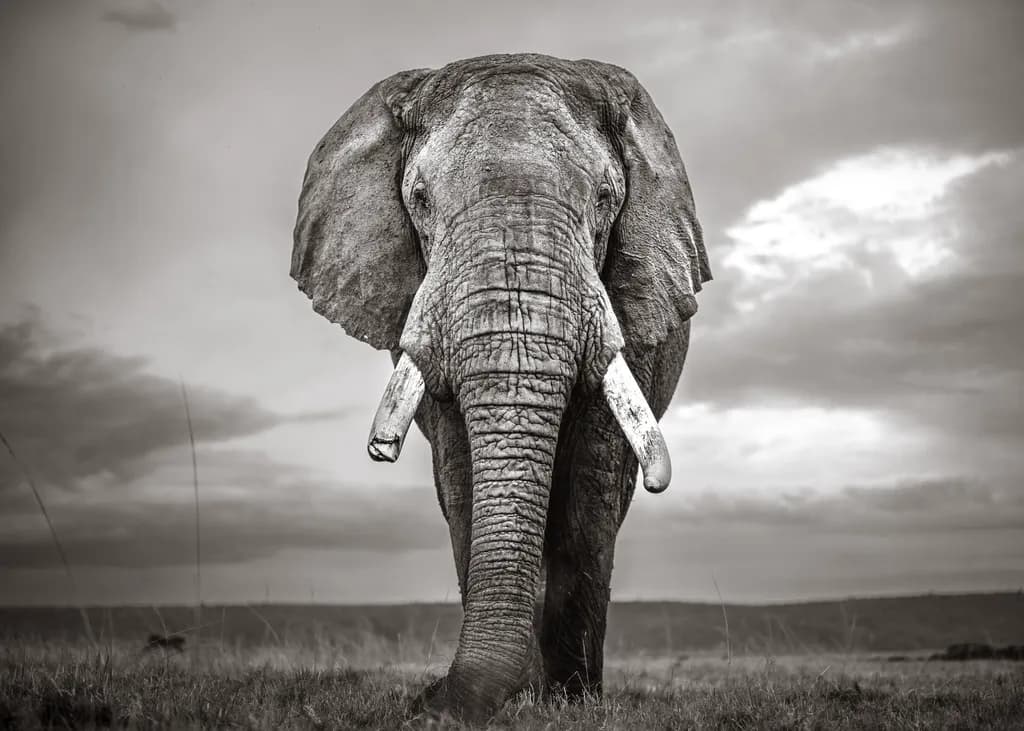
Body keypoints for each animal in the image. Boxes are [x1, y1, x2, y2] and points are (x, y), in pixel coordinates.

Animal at [290, 53, 711, 721]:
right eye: (419, 199)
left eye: (605, 198)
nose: (427, 700)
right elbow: (460, 472)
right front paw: (516, 700)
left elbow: (590, 487)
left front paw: (568, 702)